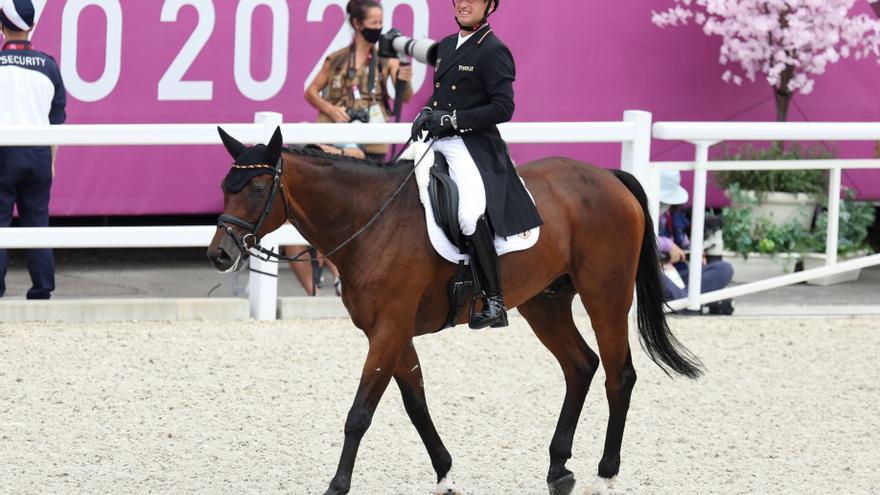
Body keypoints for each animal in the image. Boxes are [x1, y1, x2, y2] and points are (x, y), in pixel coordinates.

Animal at [206, 129, 700, 495]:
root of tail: (609, 178)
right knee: (580, 365)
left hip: (606, 296)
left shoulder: (389, 328)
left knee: (619, 375)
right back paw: (559, 469)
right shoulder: (391, 331)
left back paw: (606, 473)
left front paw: (337, 485)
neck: (370, 220)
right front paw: (444, 473)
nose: (218, 254)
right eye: (224, 189)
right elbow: (415, 403)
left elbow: (360, 412)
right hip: (545, 302)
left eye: (256, 188)